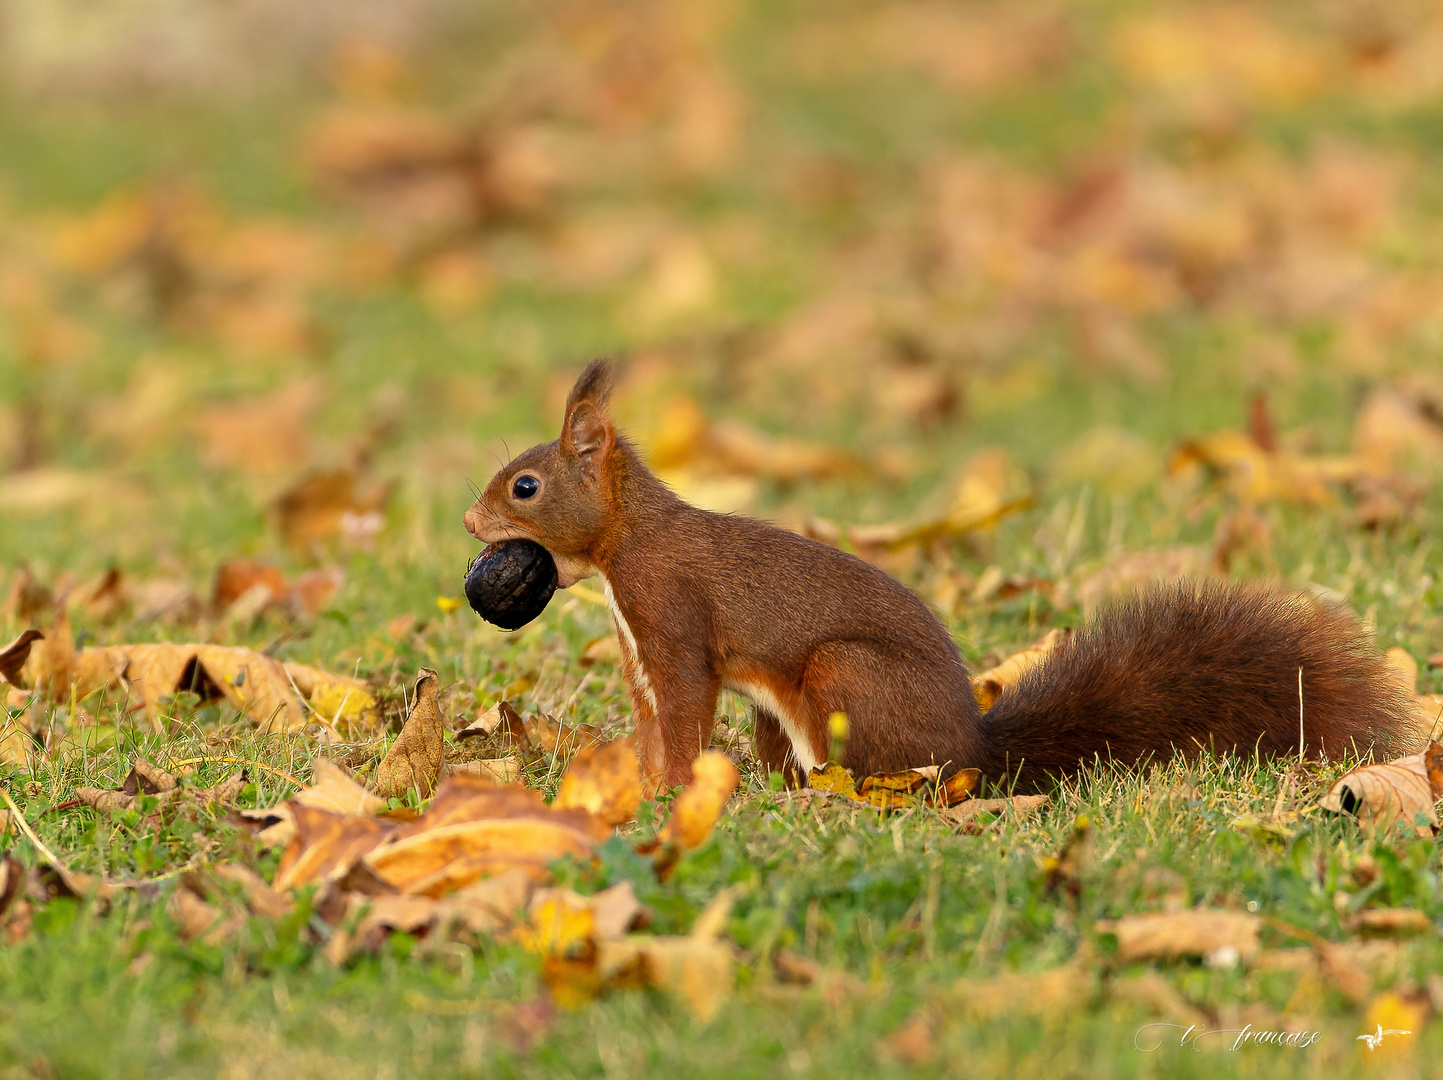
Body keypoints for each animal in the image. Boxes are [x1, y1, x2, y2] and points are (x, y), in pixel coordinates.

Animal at [464, 358, 1419, 791]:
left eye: (525, 485)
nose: (471, 526)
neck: (625, 548)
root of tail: (973, 754)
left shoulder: (673, 621)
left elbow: (686, 711)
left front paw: (672, 792)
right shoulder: (638, 649)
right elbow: (652, 720)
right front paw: (638, 780)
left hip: (842, 677)